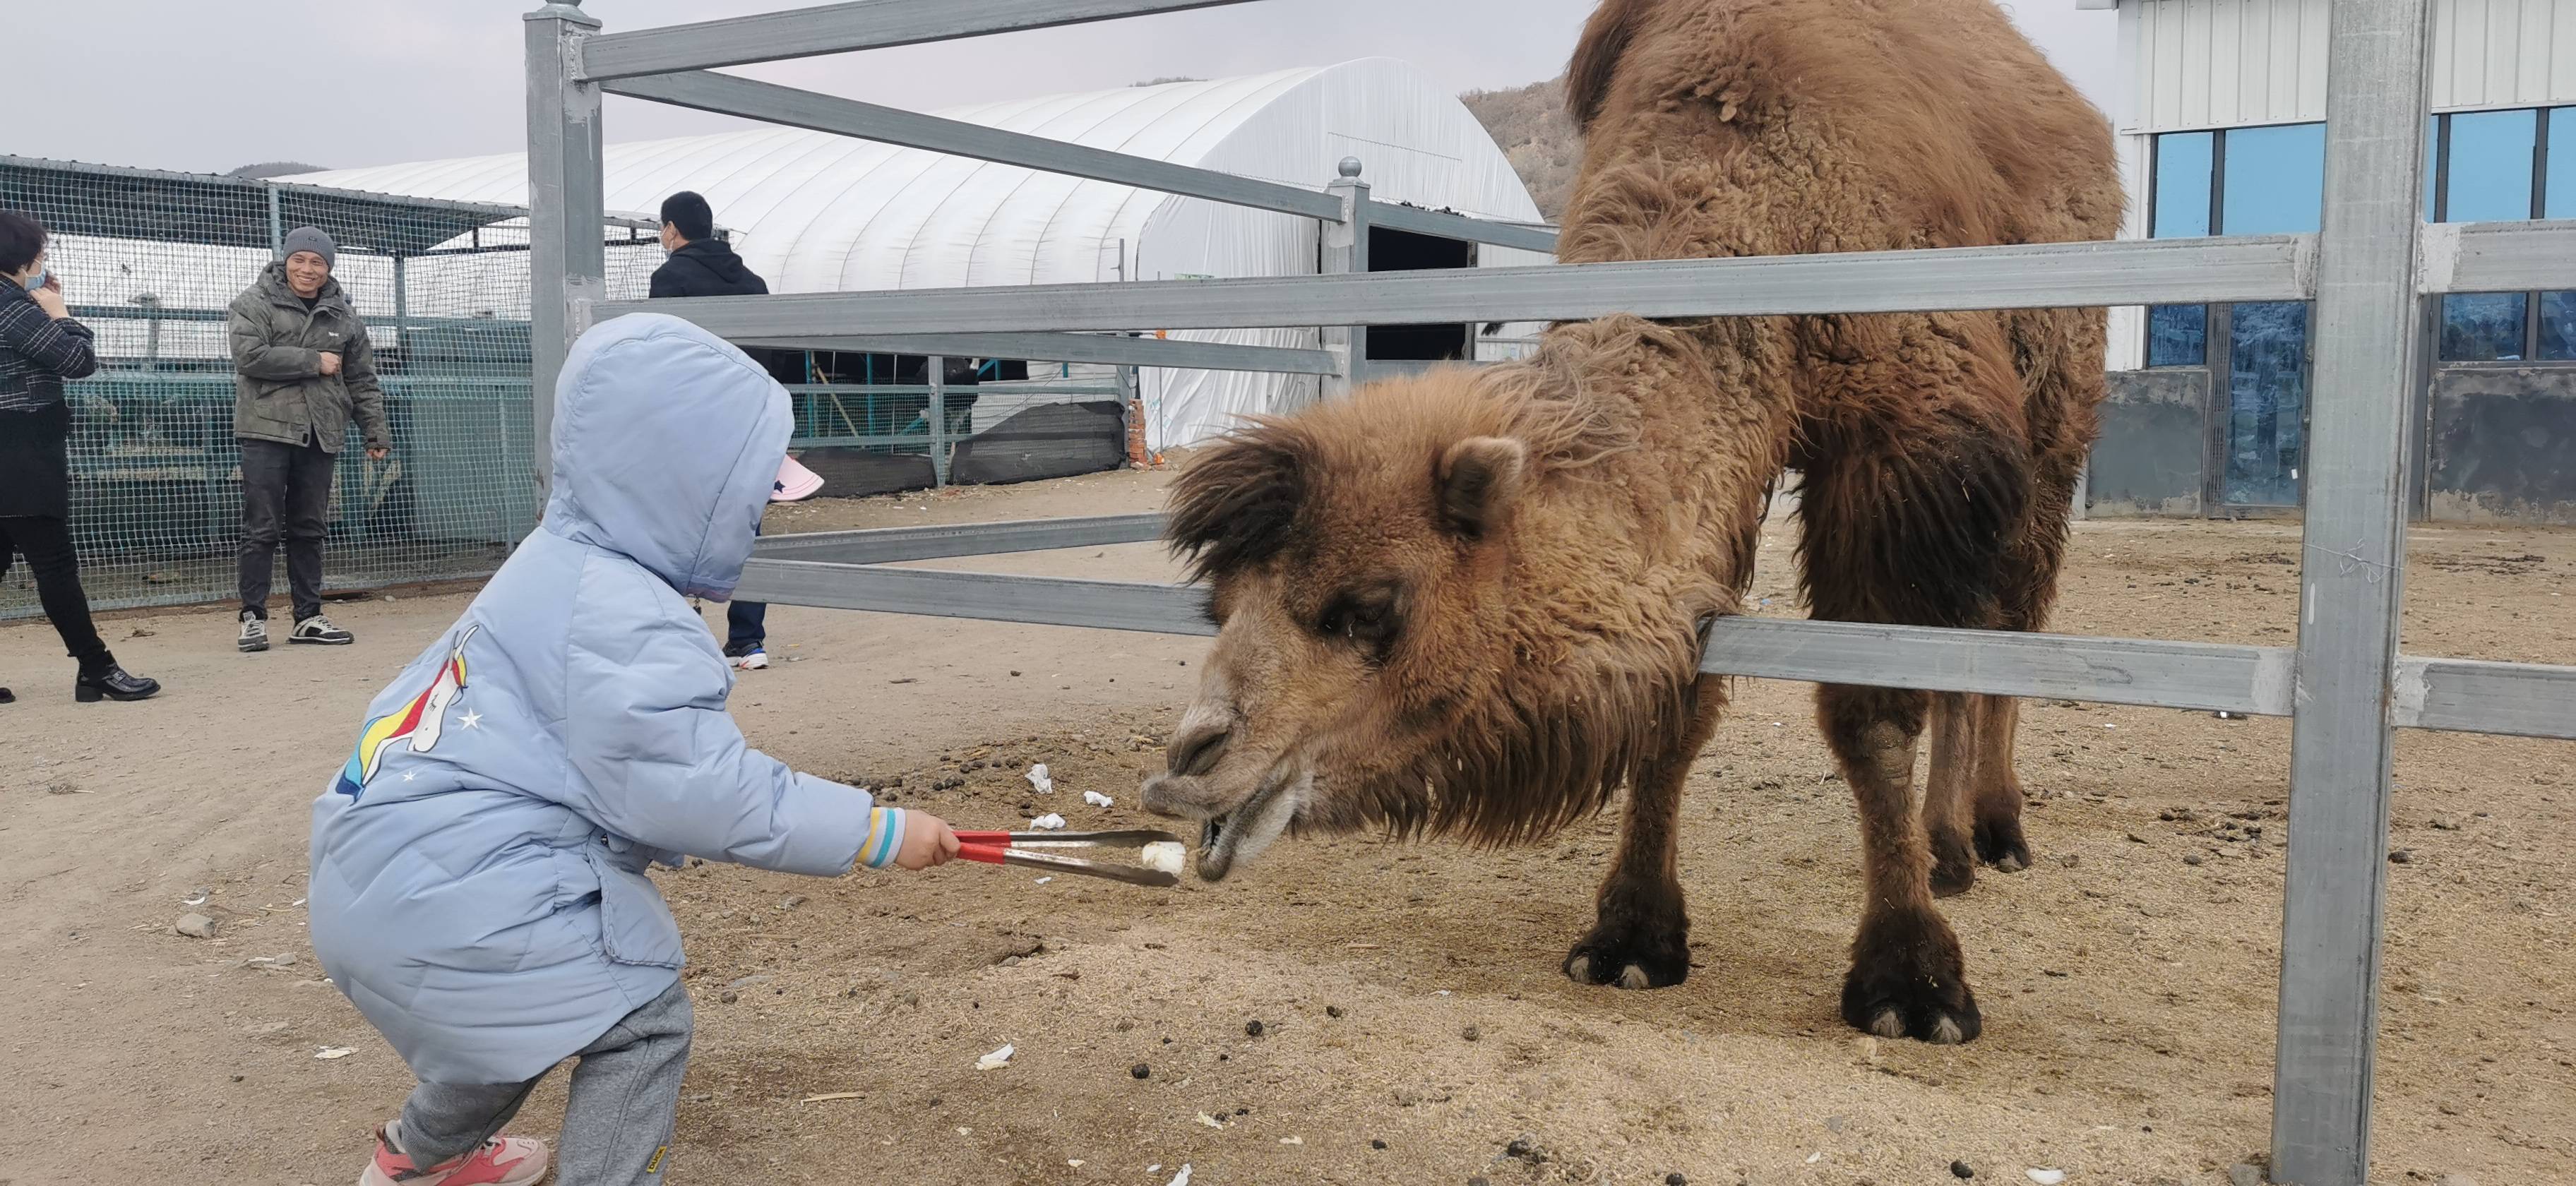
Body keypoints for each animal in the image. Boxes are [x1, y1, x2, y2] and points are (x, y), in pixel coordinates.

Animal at [1138, 0, 2122, 1039]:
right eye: (1216, 605)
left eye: (1370, 607)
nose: (1189, 766)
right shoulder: (1715, 493)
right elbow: (1678, 704)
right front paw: (1634, 938)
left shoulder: (1914, 441)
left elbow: (1875, 711)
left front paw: (1912, 979)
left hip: (2055, 415)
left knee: (2007, 617)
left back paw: (1981, 834)